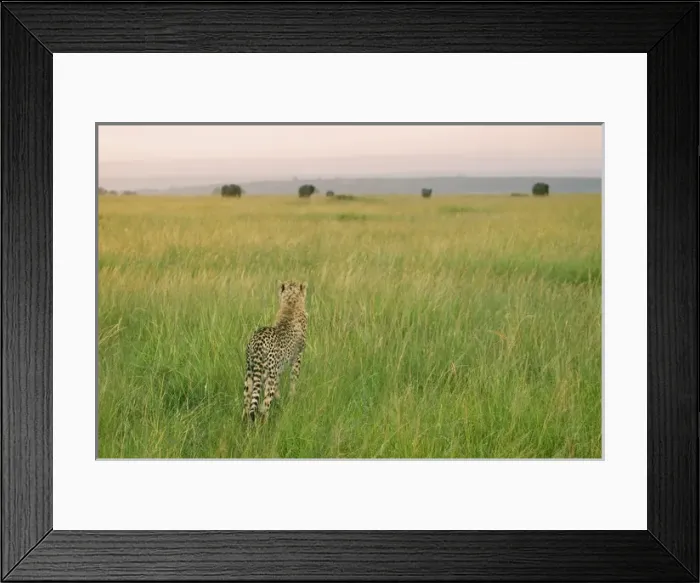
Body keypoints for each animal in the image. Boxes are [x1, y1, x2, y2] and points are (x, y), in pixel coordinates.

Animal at [243, 280, 308, 422]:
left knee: (246, 404)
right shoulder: (298, 356)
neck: (291, 303)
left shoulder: (278, 369)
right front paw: (291, 398)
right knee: (265, 404)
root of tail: (257, 340)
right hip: (268, 377)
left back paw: (245, 422)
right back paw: (264, 423)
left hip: (250, 374)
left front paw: (281, 400)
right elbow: (293, 380)